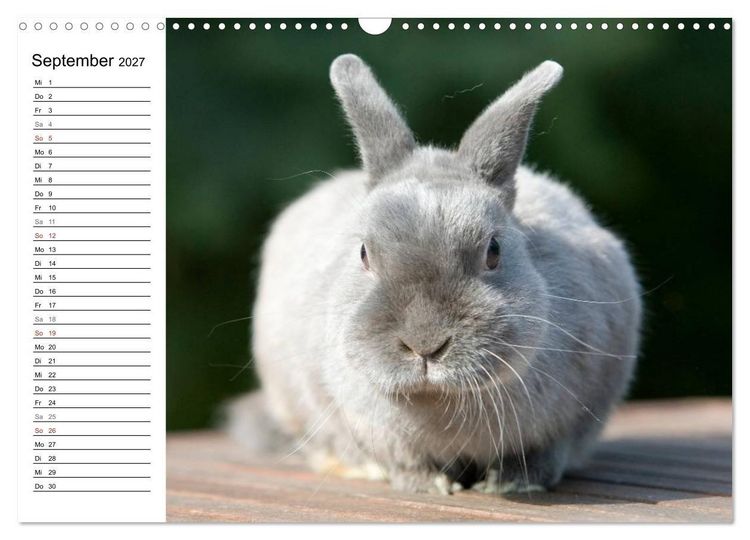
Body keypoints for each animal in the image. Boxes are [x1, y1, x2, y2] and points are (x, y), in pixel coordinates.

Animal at [226, 54, 642, 495]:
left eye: (494, 251)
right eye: (363, 253)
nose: (424, 345)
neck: (441, 398)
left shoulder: (565, 425)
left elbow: (542, 456)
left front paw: (510, 484)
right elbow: (406, 463)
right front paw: (432, 487)